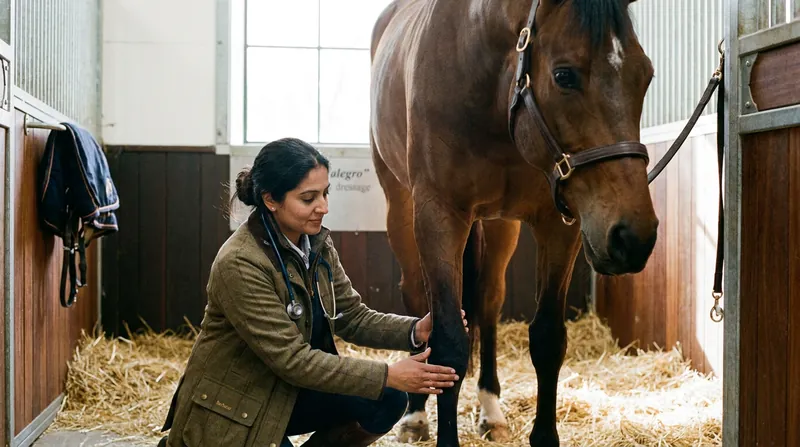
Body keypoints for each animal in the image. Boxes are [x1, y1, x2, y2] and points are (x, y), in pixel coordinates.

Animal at [369, 0, 658, 445]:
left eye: (646, 75)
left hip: (502, 225)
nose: (633, 236)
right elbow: (448, 342)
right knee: (417, 297)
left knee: (489, 300)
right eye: (564, 75)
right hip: (400, 207)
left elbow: (547, 338)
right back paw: (415, 415)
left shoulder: (559, 223)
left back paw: (490, 408)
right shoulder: (439, 214)